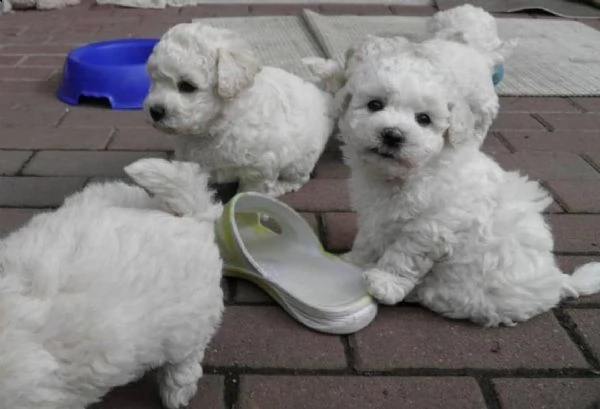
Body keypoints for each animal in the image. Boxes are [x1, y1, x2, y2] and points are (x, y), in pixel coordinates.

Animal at [144, 22, 336, 198]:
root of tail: (325, 98)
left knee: (298, 178)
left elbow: (251, 191)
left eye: (187, 86)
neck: (217, 126)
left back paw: (280, 187)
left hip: (301, 159)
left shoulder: (260, 167)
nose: (155, 111)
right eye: (154, 80)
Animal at [332, 36, 600, 326]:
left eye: (424, 119)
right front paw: (353, 261)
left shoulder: (431, 226)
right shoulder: (374, 216)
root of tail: (558, 283)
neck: (405, 175)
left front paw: (384, 282)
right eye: (375, 105)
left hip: (469, 291)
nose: (392, 135)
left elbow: (403, 255)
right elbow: (367, 241)